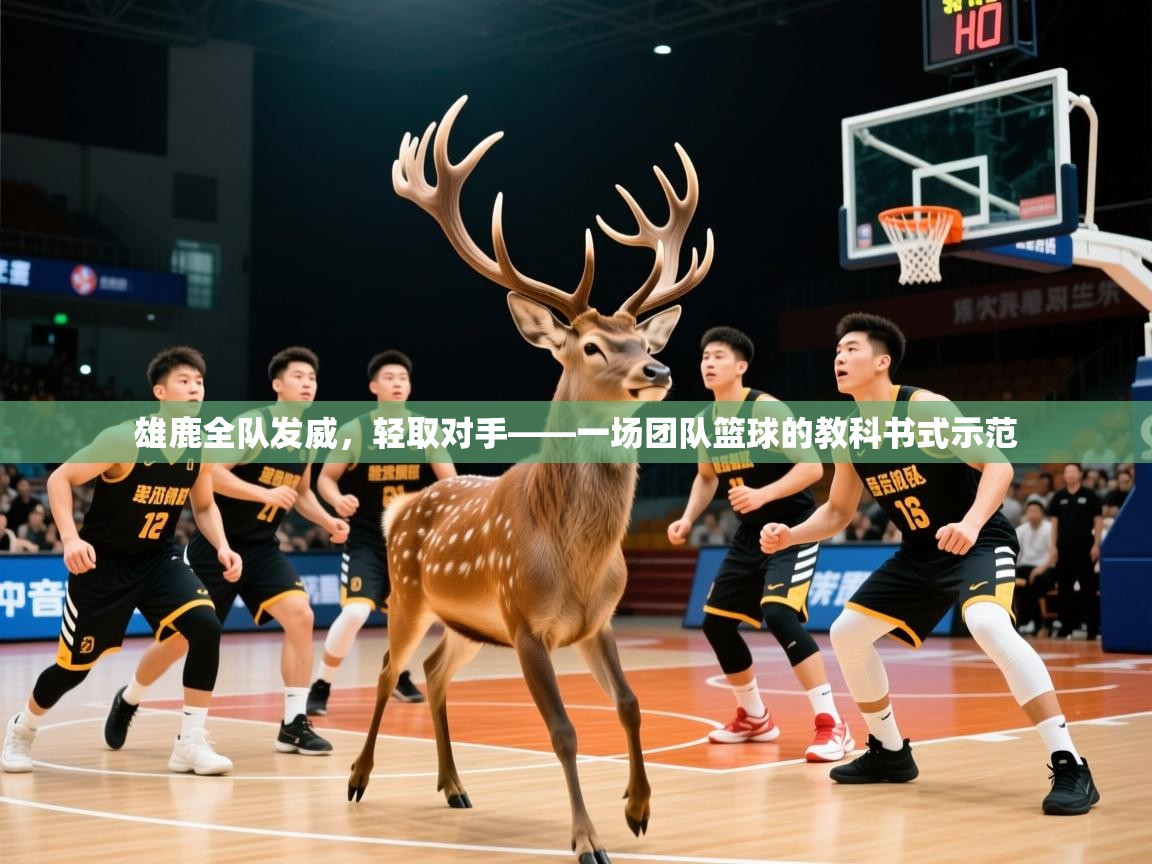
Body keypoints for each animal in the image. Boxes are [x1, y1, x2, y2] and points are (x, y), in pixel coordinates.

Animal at [347, 95, 713, 864]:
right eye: (593, 346)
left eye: (643, 338)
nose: (659, 369)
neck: (575, 556)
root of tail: (402, 509)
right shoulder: (524, 621)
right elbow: (565, 730)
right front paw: (588, 838)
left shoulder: (596, 619)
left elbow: (631, 704)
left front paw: (638, 808)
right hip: (410, 595)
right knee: (390, 670)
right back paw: (359, 778)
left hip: (466, 622)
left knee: (433, 672)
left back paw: (454, 785)